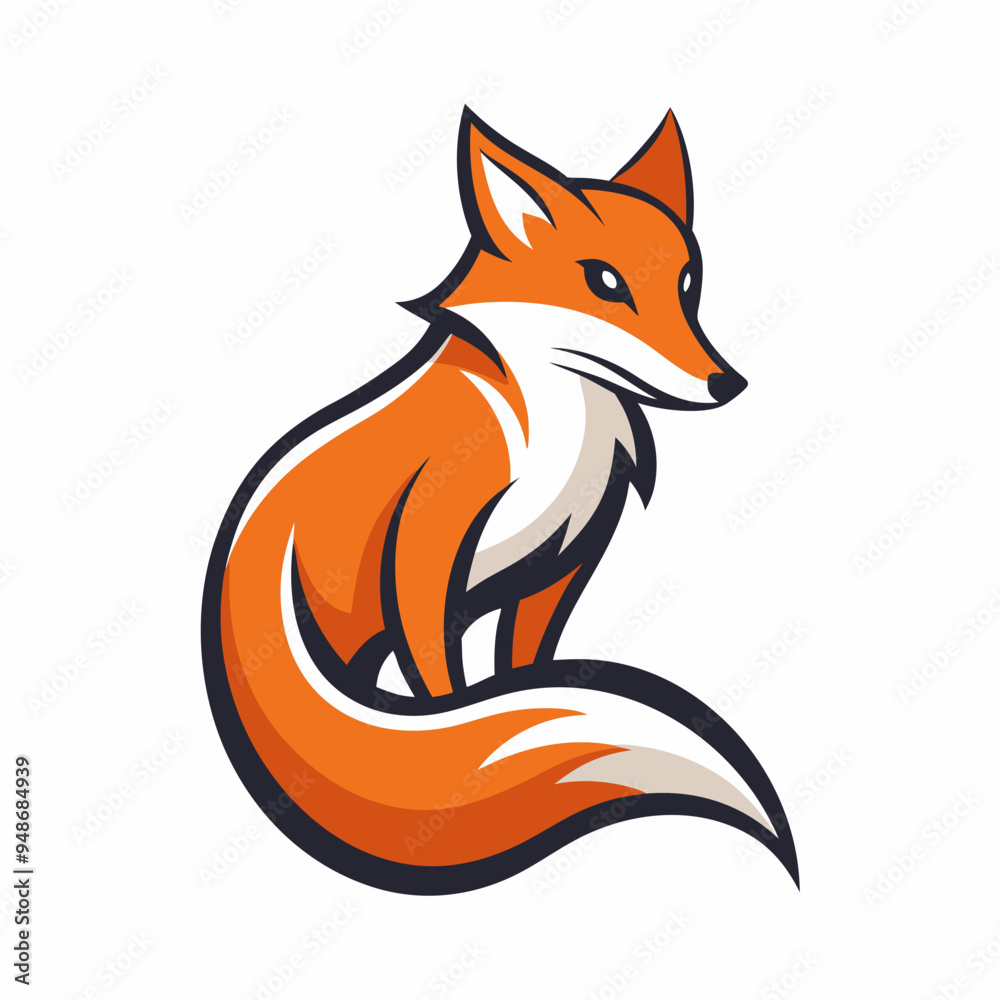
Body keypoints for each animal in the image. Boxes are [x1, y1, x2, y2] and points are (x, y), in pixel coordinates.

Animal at [202, 107, 798, 894]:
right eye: (606, 281)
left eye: (688, 281)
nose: (725, 382)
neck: (551, 432)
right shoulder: (423, 555)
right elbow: (443, 689)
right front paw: (458, 713)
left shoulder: (559, 565)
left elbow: (519, 671)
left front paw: (514, 694)